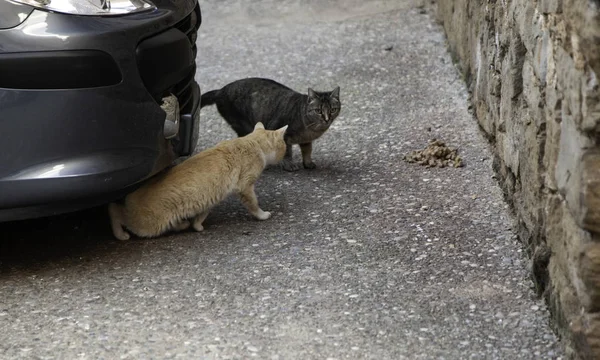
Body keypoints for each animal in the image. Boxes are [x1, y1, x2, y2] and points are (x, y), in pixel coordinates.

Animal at [108, 122, 288, 240]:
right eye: (284, 146)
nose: (285, 155)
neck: (251, 143)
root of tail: (134, 194)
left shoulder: (209, 198)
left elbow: (201, 216)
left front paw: (197, 226)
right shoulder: (245, 187)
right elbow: (254, 204)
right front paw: (262, 215)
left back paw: (182, 225)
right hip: (148, 225)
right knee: (115, 210)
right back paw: (120, 234)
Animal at [202, 77, 342, 172]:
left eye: (332, 110)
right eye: (318, 111)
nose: (327, 119)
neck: (312, 128)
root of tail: (220, 90)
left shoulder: (306, 140)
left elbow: (307, 151)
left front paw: (308, 163)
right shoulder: (283, 133)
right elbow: (287, 152)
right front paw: (289, 165)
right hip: (244, 125)